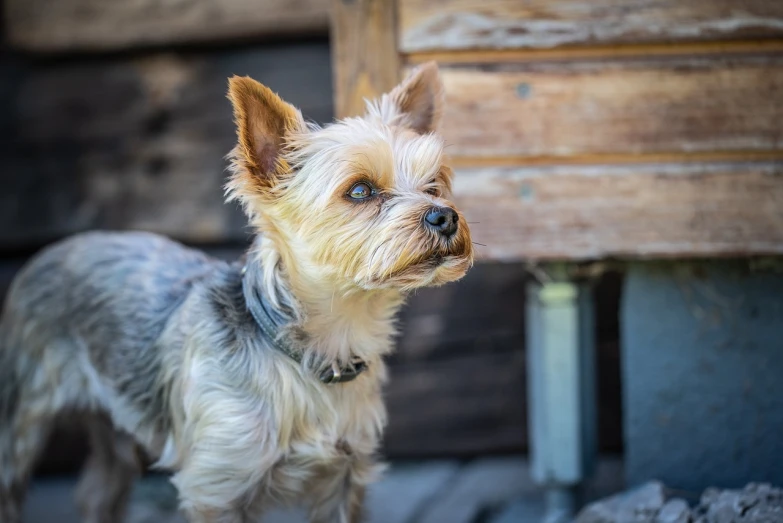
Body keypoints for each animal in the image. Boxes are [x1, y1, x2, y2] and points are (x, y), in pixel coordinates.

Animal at [0, 62, 472, 523]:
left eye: (434, 184)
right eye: (360, 190)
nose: (445, 216)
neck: (318, 349)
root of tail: (55, 248)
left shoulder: (344, 479)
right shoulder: (217, 488)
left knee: (99, 491)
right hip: (20, 415)